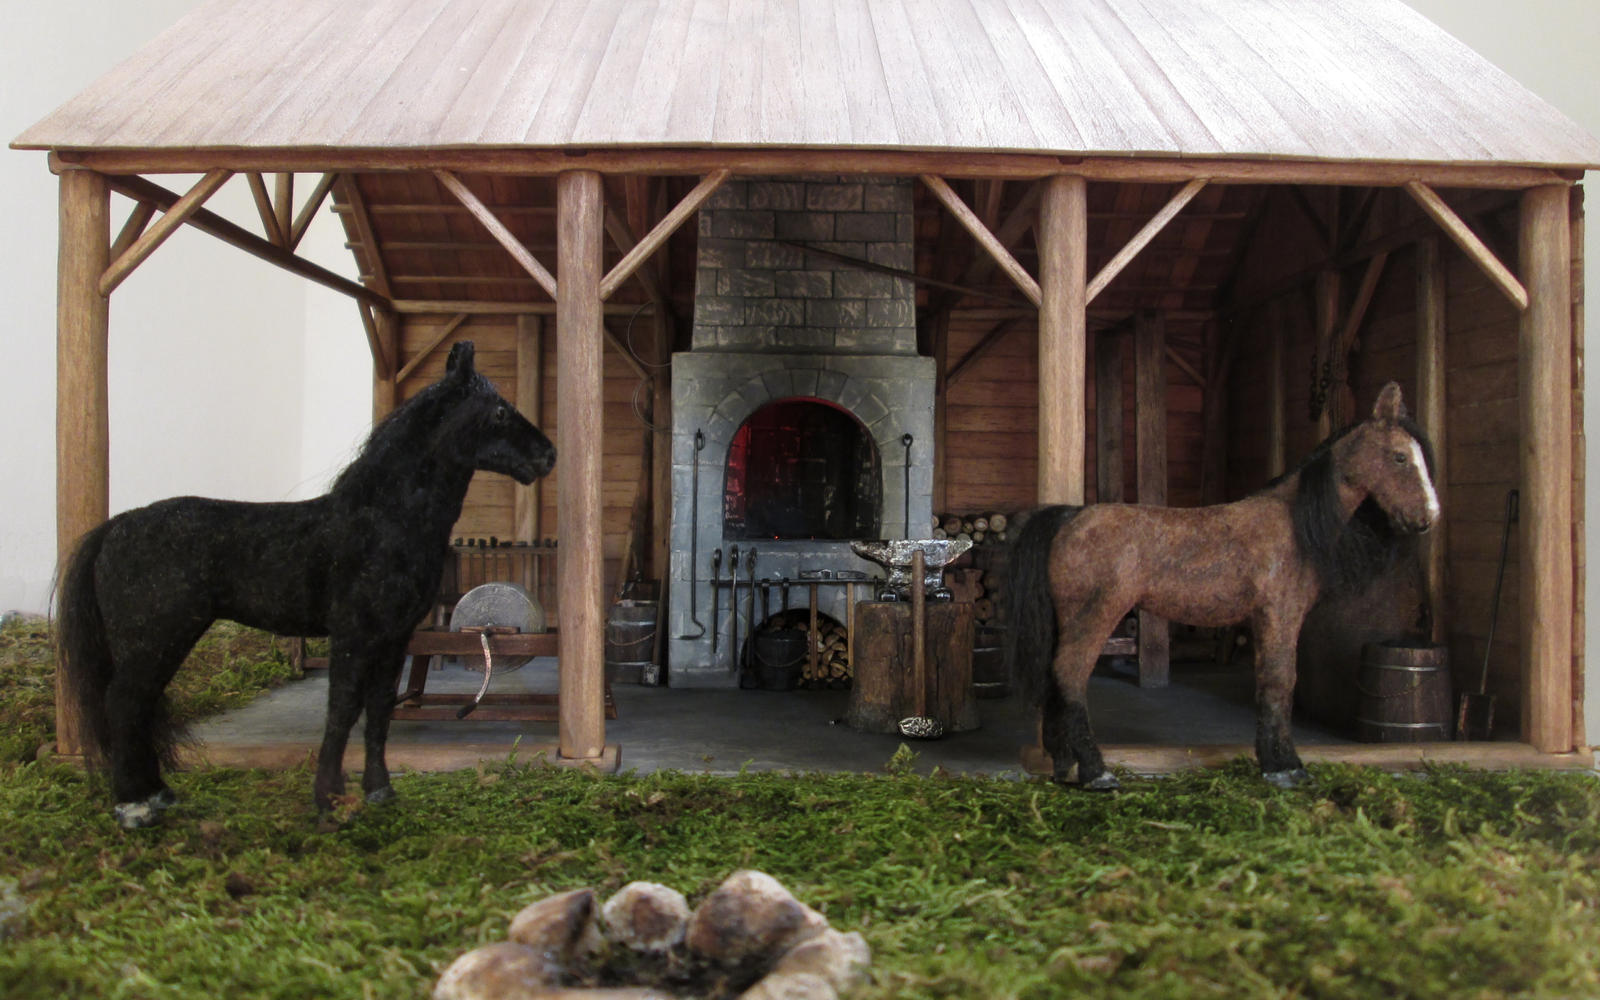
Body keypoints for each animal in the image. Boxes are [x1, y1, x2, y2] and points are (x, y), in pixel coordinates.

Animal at [54, 342, 556, 825]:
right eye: (499, 411)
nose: (547, 454)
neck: (383, 521)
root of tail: (116, 526)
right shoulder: (353, 634)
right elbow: (342, 709)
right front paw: (330, 801)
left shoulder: (394, 638)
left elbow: (378, 709)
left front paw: (379, 792)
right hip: (156, 639)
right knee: (123, 704)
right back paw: (134, 807)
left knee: (140, 705)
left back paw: (157, 795)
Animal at [998, 382, 1440, 787]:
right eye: (1400, 456)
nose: (1428, 517)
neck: (1294, 524)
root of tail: (1069, 517)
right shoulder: (1280, 614)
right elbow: (1281, 682)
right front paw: (1286, 768)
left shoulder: (1264, 620)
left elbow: (1269, 682)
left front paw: (1274, 762)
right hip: (1096, 615)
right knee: (1071, 673)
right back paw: (1096, 772)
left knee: (1056, 678)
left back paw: (1062, 766)